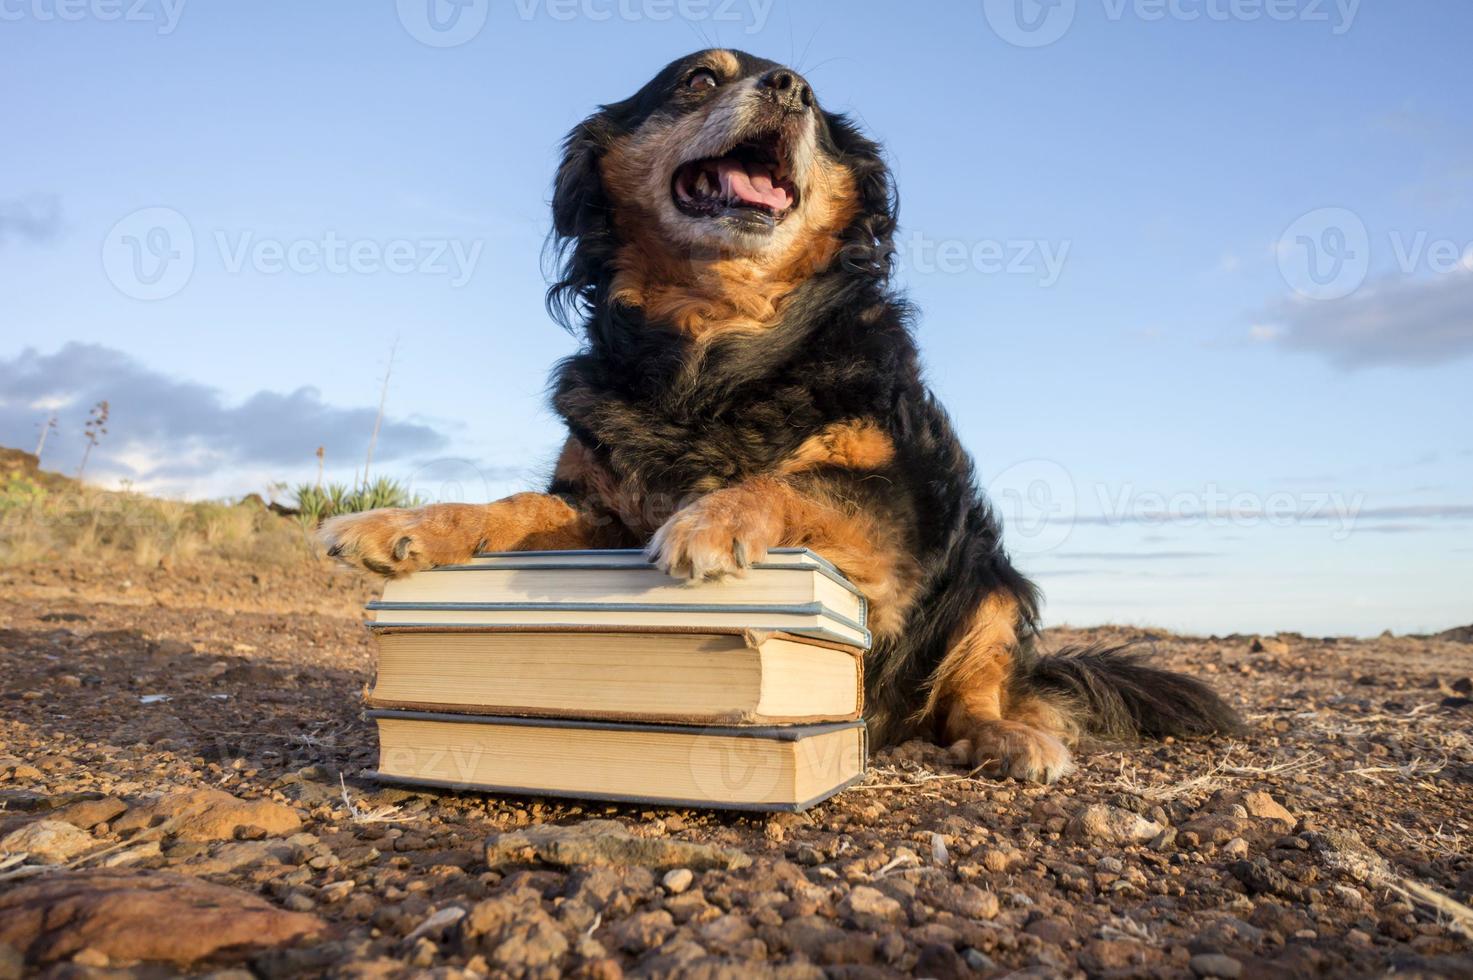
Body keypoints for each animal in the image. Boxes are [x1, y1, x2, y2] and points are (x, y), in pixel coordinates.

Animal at [316, 49, 1237, 778]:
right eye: (697, 78)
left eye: (820, 114)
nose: (788, 87)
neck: (718, 343)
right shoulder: (600, 508)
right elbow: (515, 504)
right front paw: (403, 524)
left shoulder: (895, 519)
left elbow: (799, 481)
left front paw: (713, 518)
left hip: (990, 582)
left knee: (974, 695)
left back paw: (1007, 738)